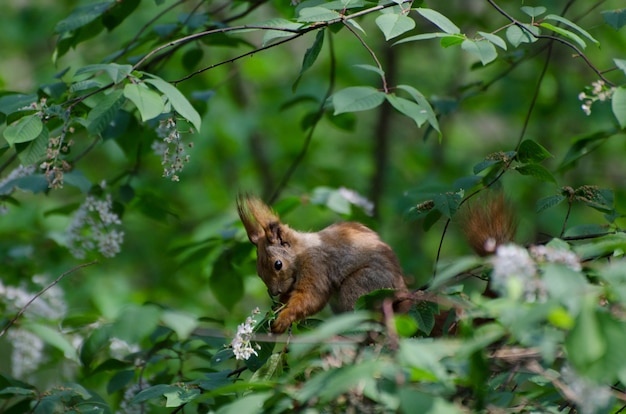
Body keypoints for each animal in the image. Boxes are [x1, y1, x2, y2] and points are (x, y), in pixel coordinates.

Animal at [234, 193, 512, 334]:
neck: (302, 251)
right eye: (259, 273)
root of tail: (403, 299)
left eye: (278, 265)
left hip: (361, 288)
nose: (273, 292)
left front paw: (283, 318)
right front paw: (276, 309)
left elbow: (311, 297)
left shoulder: (317, 266)